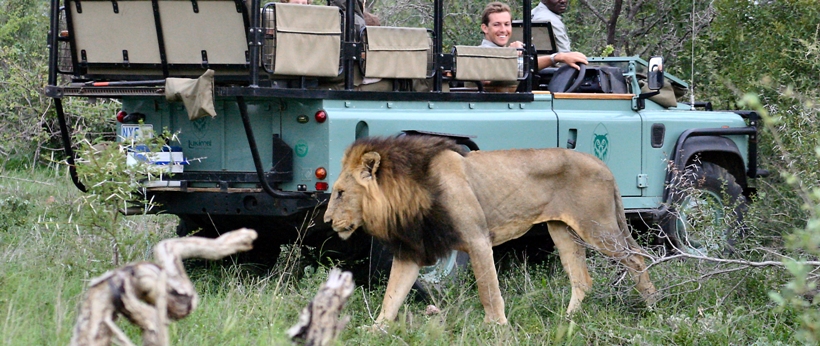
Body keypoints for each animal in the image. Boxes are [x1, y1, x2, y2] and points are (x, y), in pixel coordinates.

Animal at [324, 135, 656, 324]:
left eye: (340, 192)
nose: (327, 221)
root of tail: (601, 164)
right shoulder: (412, 252)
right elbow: (392, 297)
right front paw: (375, 330)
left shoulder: (477, 239)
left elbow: (489, 293)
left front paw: (498, 328)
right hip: (562, 230)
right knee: (583, 279)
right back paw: (567, 321)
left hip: (598, 228)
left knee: (637, 258)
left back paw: (654, 307)